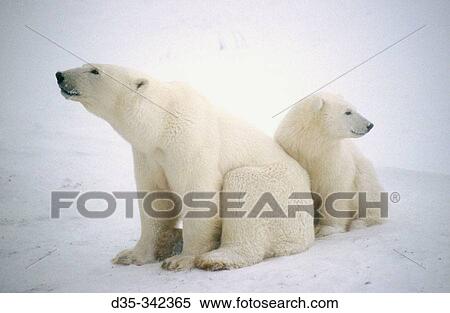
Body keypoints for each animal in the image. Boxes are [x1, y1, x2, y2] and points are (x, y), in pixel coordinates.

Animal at [55, 64, 312, 270]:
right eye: (87, 66)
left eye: (94, 70)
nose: (59, 75)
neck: (161, 124)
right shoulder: (147, 155)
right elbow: (155, 200)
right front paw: (131, 255)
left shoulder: (191, 144)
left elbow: (199, 196)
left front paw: (182, 260)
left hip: (281, 193)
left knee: (245, 186)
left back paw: (217, 258)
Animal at [274, 92, 384, 236]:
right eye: (348, 112)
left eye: (355, 108)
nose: (370, 125)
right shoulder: (295, 151)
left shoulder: (333, 160)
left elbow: (335, 189)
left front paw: (327, 228)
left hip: (364, 172)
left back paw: (360, 222)